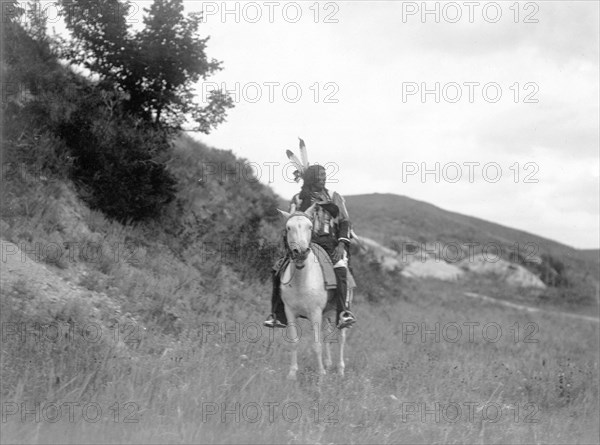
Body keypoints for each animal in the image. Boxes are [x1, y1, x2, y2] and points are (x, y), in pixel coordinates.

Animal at [278, 205, 352, 378]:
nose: (301, 252)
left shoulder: (315, 313)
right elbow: (294, 342)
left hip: (338, 311)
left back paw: (340, 370)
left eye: (309, 227)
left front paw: (321, 375)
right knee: (327, 336)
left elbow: (316, 345)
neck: (301, 281)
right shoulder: (290, 312)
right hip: (326, 313)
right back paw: (328, 363)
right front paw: (292, 374)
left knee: (341, 337)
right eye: (288, 227)